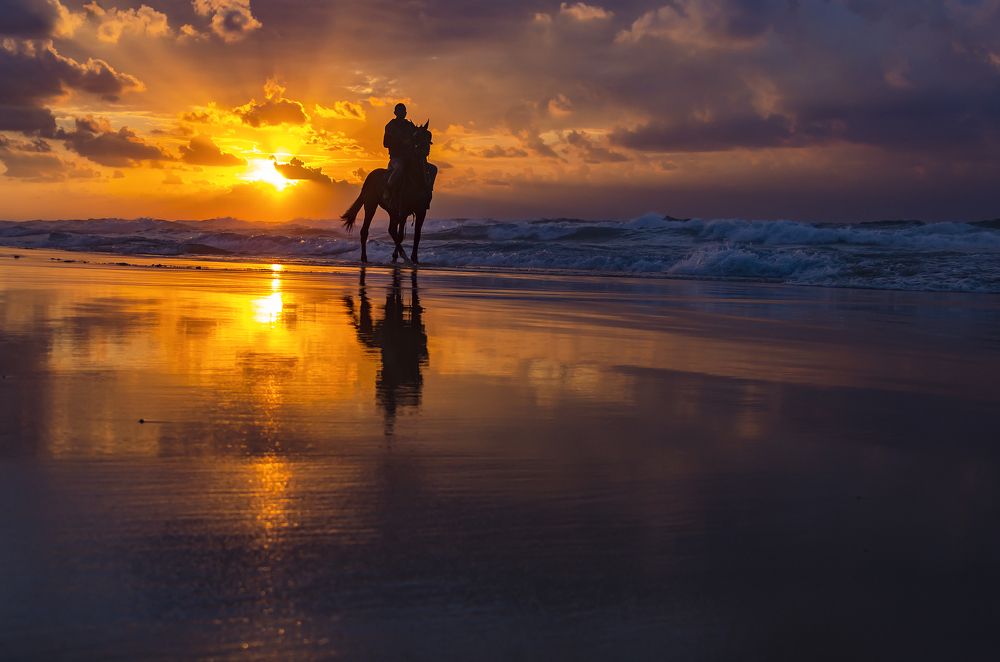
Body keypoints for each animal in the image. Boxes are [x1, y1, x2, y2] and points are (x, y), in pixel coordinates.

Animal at [341, 122, 436, 264]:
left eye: (428, 135)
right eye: (416, 136)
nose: (424, 149)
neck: (416, 179)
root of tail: (369, 177)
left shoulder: (421, 211)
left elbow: (417, 235)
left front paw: (414, 258)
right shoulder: (403, 210)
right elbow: (401, 235)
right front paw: (406, 258)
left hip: (392, 210)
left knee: (391, 230)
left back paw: (395, 256)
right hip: (371, 205)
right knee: (365, 231)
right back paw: (365, 258)